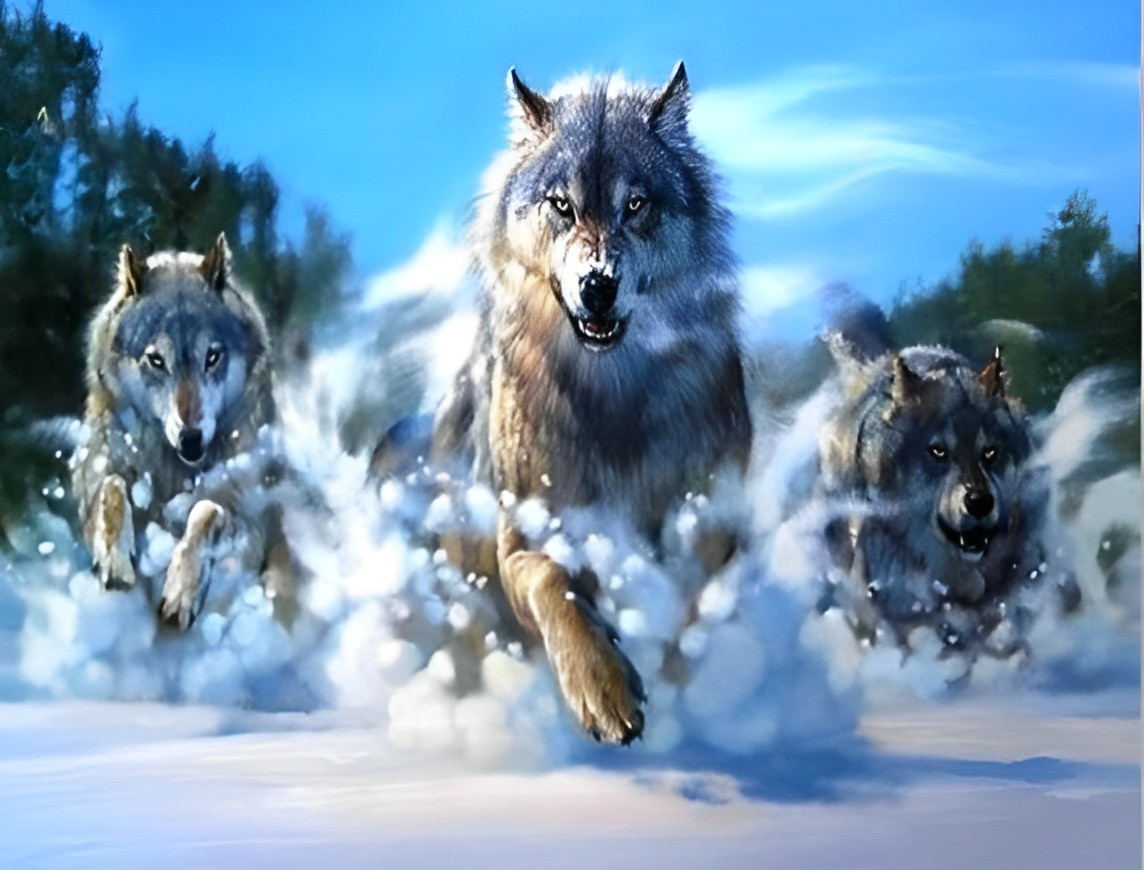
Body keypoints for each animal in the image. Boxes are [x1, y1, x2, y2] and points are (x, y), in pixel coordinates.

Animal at [71, 234, 292, 629]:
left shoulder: (247, 517)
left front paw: (181, 591)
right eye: (156, 360)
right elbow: (112, 488)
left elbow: (205, 510)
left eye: (212, 357)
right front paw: (115, 561)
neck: (173, 471)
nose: (191, 438)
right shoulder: (94, 477)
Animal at [418, 63, 752, 744]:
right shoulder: (523, 538)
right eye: (562, 205)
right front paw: (604, 689)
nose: (597, 285)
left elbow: (691, 607)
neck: (611, 395)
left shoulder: (710, 522)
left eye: (636, 204)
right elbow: (554, 579)